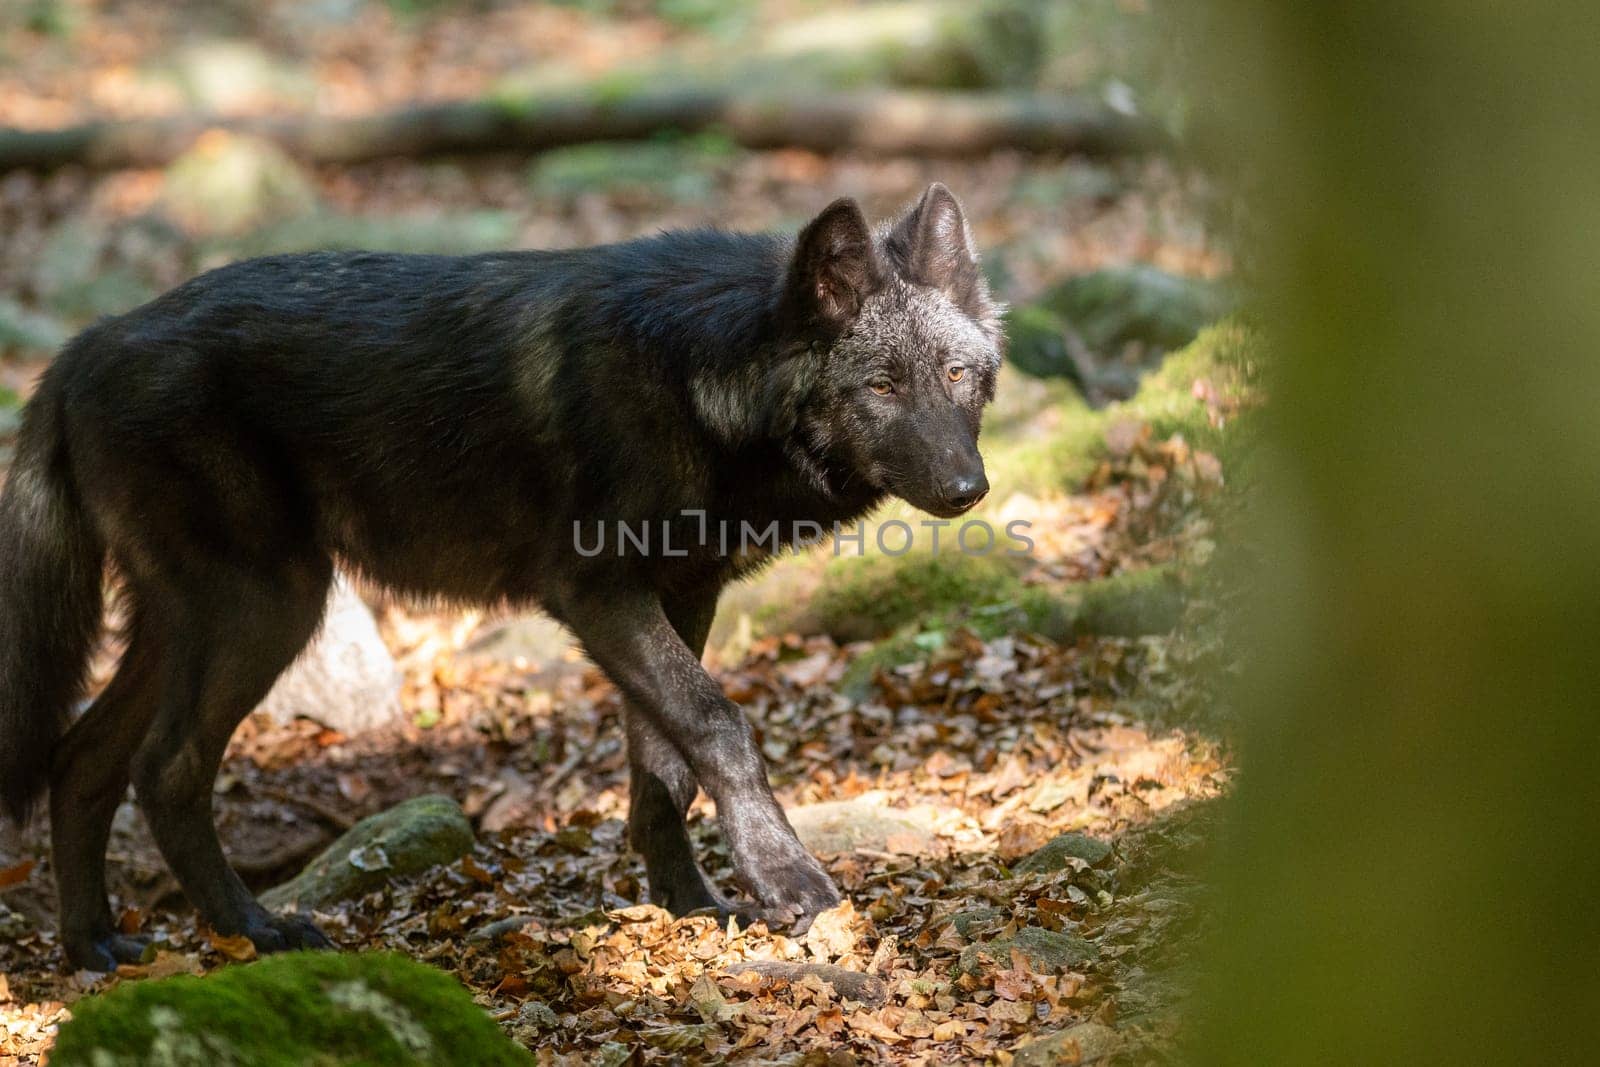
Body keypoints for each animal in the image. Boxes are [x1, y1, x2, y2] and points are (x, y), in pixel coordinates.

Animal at [0, 181, 998, 966]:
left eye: (958, 375)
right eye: (881, 388)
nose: (969, 488)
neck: (696, 377)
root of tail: (81, 347)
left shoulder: (683, 593)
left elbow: (663, 769)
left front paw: (689, 904)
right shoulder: (598, 596)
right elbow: (719, 725)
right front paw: (785, 878)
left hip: (193, 626)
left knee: (82, 758)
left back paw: (93, 945)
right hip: (269, 610)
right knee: (165, 769)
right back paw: (255, 930)